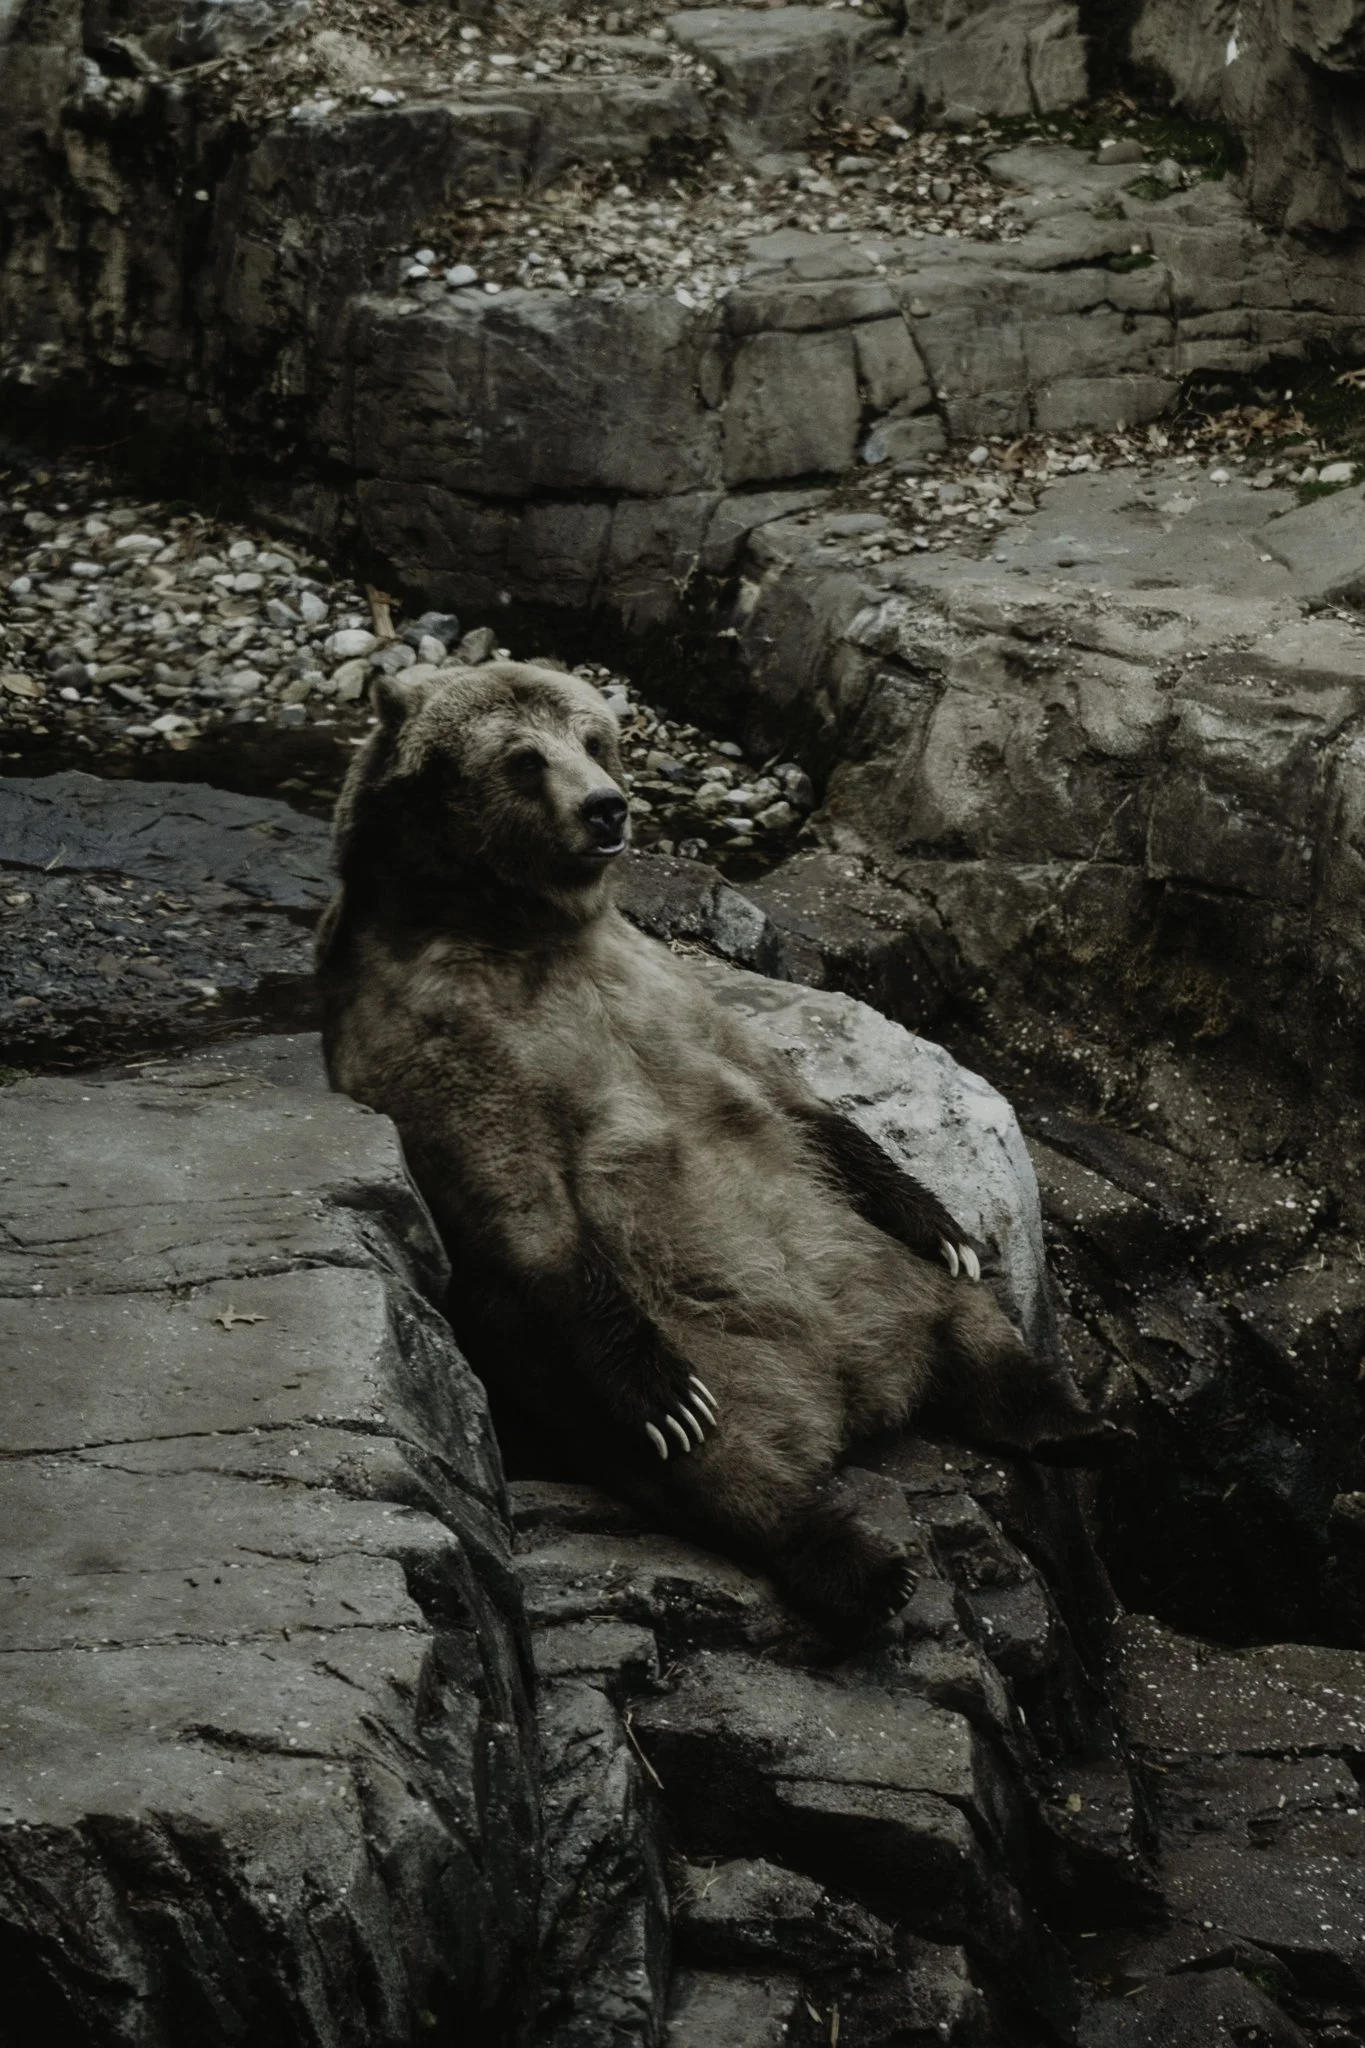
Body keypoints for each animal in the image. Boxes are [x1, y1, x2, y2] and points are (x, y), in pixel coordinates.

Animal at [316, 661, 1121, 1640]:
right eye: (522, 758)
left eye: (594, 737)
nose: (606, 808)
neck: (522, 931)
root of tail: (855, 1392)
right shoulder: (441, 1034)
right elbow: (518, 1207)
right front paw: (665, 1396)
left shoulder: (661, 987)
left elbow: (794, 1103)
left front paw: (944, 1223)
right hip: (704, 1356)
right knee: (715, 1464)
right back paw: (859, 1565)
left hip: (865, 1264)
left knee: (970, 1320)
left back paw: (1070, 1420)